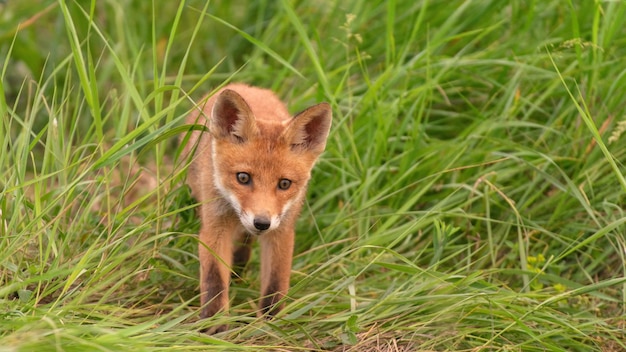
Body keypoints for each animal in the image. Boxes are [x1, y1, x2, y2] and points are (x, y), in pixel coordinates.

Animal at [180, 83, 332, 332]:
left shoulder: (281, 230)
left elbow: (275, 284)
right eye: (243, 177)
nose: (261, 223)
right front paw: (214, 326)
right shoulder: (215, 227)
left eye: (284, 184)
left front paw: (272, 324)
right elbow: (214, 281)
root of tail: (244, 86)